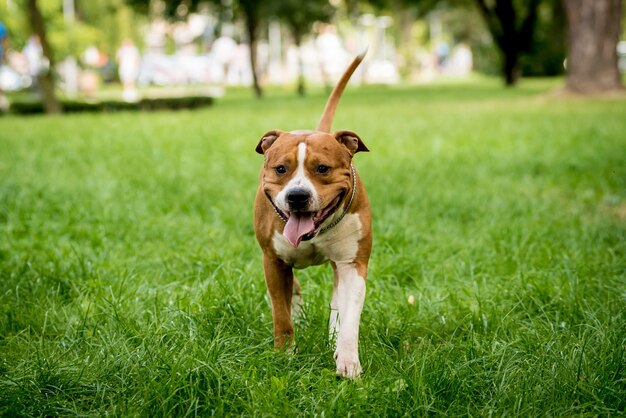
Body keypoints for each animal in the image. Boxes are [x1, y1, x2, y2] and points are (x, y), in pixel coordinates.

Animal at [252, 49, 370, 378]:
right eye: (281, 169)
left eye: (323, 169)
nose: (297, 196)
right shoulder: (273, 261)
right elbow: (281, 314)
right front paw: (285, 354)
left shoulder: (352, 264)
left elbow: (349, 317)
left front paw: (347, 360)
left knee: (336, 303)